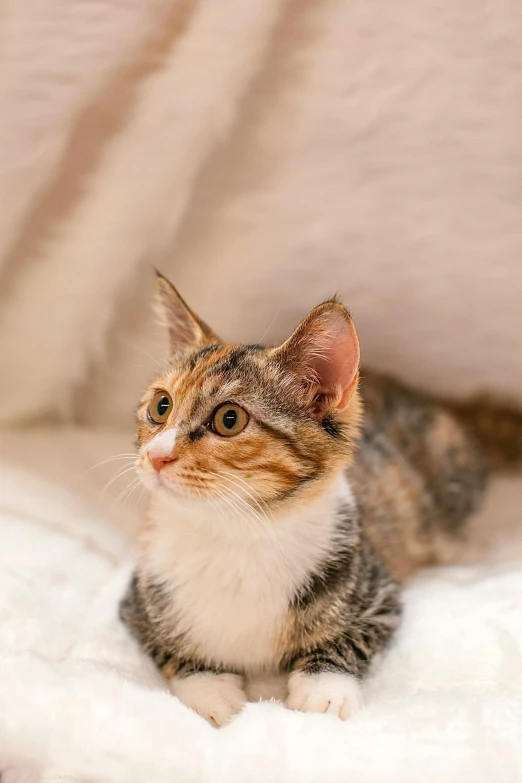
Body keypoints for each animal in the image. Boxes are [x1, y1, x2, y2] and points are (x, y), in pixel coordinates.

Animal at [120, 272, 520, 728]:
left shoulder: (378, 592)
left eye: (229, 419)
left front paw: (323, 689)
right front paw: (212, 691)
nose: (156, 455)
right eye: (160, 406)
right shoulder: (136, 603)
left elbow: (350, 637)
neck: (236, 533)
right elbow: (170, 649)